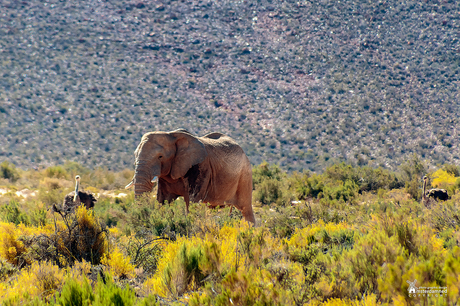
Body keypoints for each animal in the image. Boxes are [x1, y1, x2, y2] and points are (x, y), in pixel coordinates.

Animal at [126, 128, 255, 224]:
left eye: (160, 156)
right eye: (135, 154)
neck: (171, 135)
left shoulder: (200, 167)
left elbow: (192, 202)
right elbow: (164, 201)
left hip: (245, 174)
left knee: (246, 209)